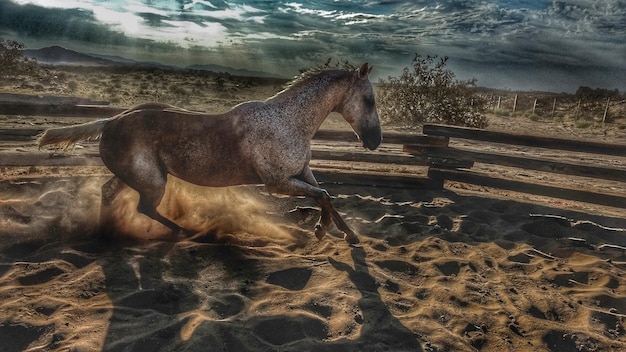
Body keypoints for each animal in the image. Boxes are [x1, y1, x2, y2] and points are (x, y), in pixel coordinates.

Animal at [39, 63, 382, 243]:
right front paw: (324, 231)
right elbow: (322, 195)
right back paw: (184, 231)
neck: (287, 121)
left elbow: (327, 197)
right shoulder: (277, 183)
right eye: (369, 100)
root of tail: (111, 121)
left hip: (132, 176)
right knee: (145, 208)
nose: (375, 141)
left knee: (108, 192)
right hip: (153, 181)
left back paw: (105, 233)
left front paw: (345, 234)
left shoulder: (301, 172)